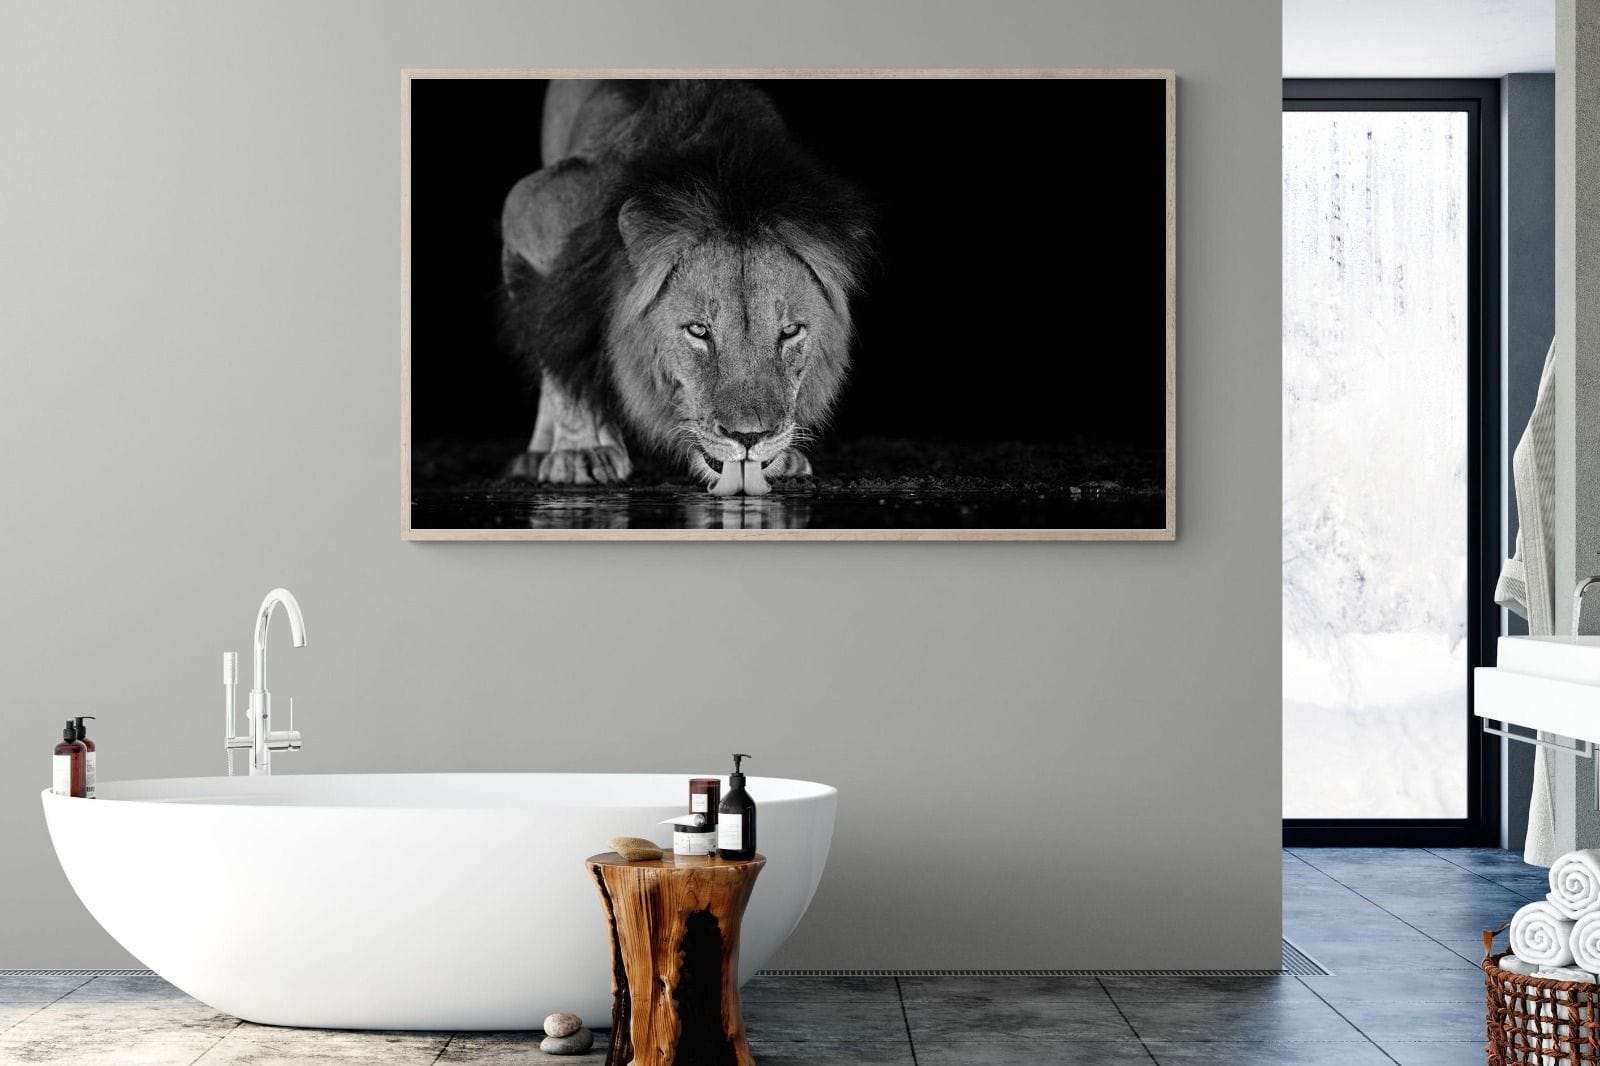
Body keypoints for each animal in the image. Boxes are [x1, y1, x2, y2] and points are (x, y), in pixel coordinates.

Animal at [498, 79, 873, 496]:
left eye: (790, 331)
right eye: (698, 330)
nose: (749, 437)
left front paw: (784, 455)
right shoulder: (531, 209)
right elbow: (561, 342)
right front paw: (580, 451)